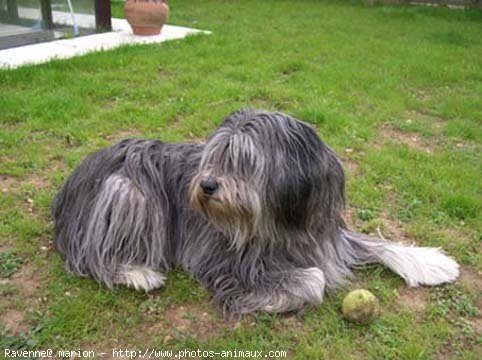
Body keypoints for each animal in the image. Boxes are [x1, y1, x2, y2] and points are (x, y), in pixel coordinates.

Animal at [52, 108, 460, 314]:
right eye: (215, 155)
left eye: (244, 160)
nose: (206, 186)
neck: (286, 222)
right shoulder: (226, 260)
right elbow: (315, 280)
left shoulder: (326, 233)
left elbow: (378, 244)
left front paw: (432, 263)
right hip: (128, 191)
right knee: (91, 254)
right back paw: (137, 272)